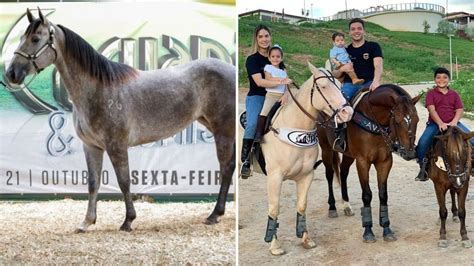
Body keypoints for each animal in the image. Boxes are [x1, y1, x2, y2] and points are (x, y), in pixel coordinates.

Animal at [6, 8, 236, 232]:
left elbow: (124, 181)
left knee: (226, 167)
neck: (98, 90)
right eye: (21, 37)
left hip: (223, 130)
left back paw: (214, 215)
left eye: (36, 38)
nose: (11, 73)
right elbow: (93, 182)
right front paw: (87, 222)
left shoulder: (116, 145)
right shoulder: (91, 146)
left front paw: (128, 221)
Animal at [254, 62, 354, 256]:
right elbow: (274, 208)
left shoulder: (306, 176)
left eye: (340, 85)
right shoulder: (274, 177)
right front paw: (275, 246)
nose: (348, 112)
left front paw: (306, 239)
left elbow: (301, 206)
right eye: (323, 86)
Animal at [316, 85, 420, 243]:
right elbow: (367, 195)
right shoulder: (362, 162)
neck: (375, 124)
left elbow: (383, 194)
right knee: (329, 174)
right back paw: (332, 207)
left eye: (417, 120)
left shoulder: (384, 162)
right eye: (397, 121)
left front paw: (386, 228)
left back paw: (346, 205)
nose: (410, 154)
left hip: (348, 155)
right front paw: (368, 230)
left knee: (343, 173)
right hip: (326, 149)